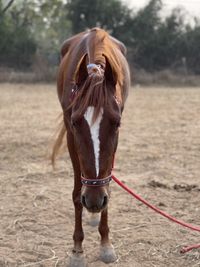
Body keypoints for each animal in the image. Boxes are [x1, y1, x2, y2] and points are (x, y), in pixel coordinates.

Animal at [51, 28, 130, 266]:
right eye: (76, 123)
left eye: (117, 123)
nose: (94, 200)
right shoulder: (71, 138)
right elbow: (77, 194)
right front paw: (77, 250)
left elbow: (108, 185)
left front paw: (105, 244)